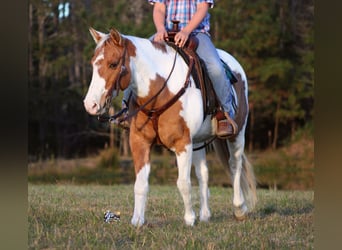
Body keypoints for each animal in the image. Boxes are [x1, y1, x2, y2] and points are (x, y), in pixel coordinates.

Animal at [83, 27, 256, 227]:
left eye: (113, 64)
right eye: (93, 64)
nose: (90, 105)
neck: (162, 92)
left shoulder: (182, 143)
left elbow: (183, 183)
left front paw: (189, 219)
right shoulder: (140, 141)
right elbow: (140, 183)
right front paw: (137, 220)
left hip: (237, 133)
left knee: (235, 166)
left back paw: (239, 209)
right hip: (198, 140)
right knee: (203, 173)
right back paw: (205, 215)